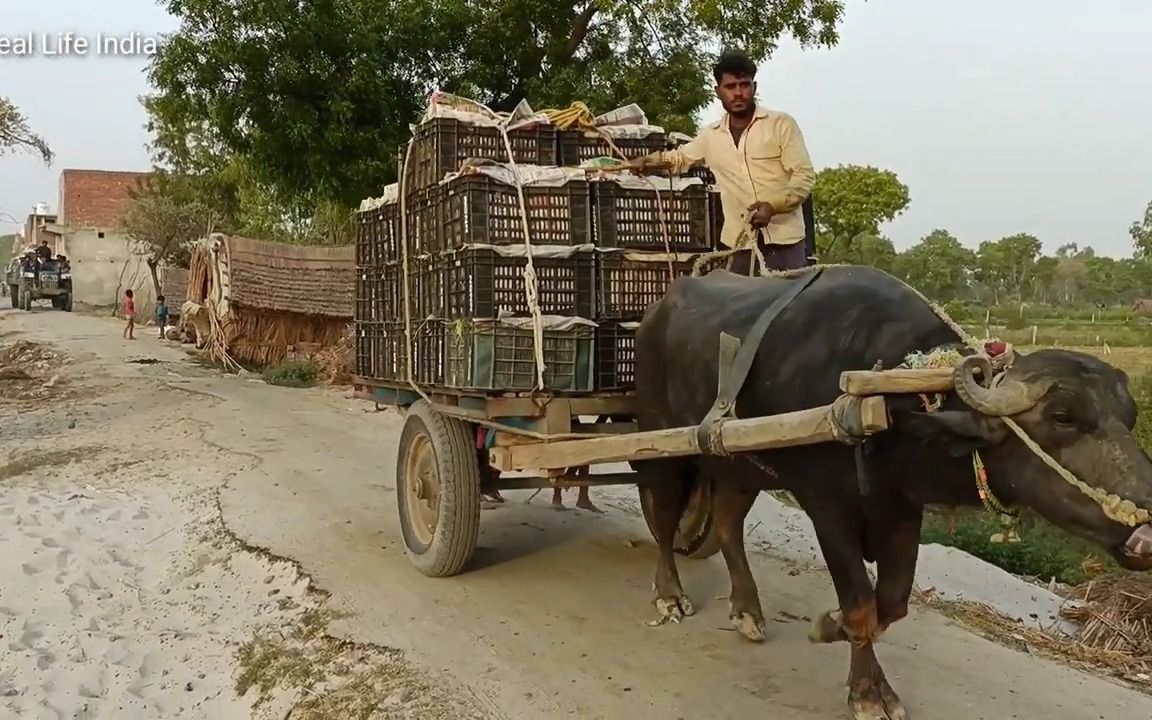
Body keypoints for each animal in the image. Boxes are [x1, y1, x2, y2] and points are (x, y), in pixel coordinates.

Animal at [635, 264, 1152, 718]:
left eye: (1129, 418)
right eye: (1062, 417)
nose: (1145, 527)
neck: (884, 402)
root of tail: (656, 310)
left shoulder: (902, 511)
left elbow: (893, 602)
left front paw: (831, 624)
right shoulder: (828, 509)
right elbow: (862, 605)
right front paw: (868, 692)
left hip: (739, 465)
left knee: (726, 524)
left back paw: (746, 610)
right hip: (659, 441)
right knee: (663, 517)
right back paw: (670, 595)